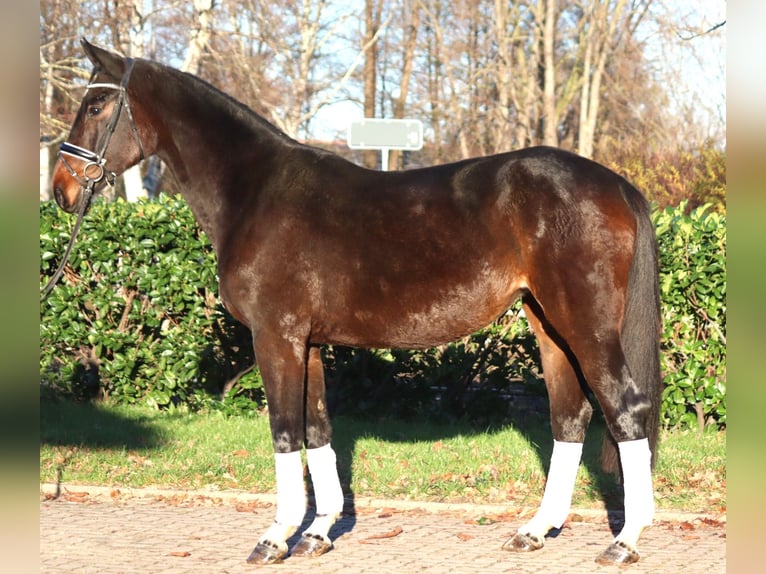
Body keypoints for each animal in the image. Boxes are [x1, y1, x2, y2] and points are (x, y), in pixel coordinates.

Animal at [51, 40, 664, 568]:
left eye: (97, 104)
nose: (61, 188)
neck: (254, 193)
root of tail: (615, 184)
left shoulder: (276, 337)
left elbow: (285, 430)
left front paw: (275, 537)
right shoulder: (308, 343)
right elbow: (318, 429)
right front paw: (318, 533)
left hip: (585, 325)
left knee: (625, 409)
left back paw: (625, 541)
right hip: (548, 324)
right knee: (570, 416)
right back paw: (535, 531)